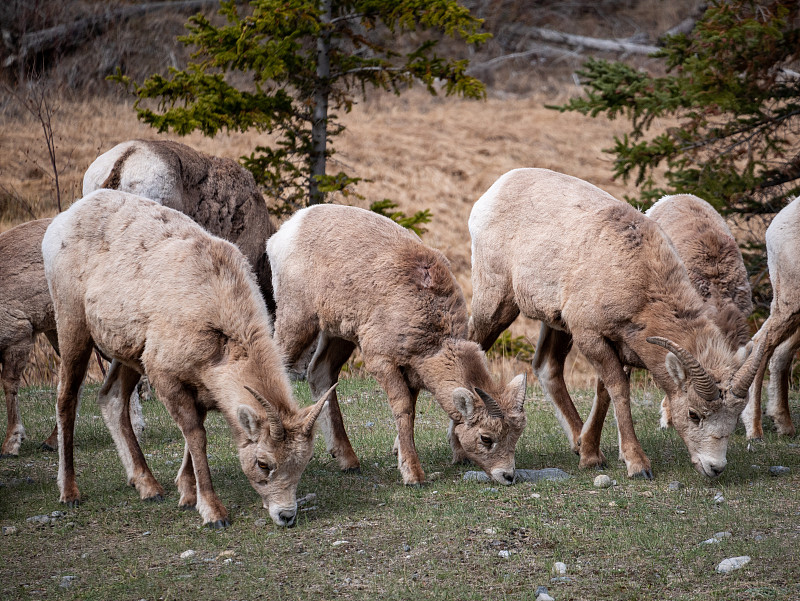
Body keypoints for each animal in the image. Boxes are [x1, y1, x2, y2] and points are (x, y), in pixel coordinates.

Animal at [43, 191, 332, 524]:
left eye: (303, 463)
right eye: (263, 463)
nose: (286, 516)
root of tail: (63, 220)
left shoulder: (200, 383)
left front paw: (186, 493)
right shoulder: (166, 377)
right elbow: (196, 435)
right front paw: (212, 512)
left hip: (128, 353)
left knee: (111, 397)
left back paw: (148, 487)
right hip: (72, 325)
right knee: (66, 398)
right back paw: (69, 492)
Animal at [270, 204, 532, 486]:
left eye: (516, 435)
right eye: (486, 438)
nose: (507, 476)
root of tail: (288, 229)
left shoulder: (412, 370)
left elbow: (412, 410)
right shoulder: (382, 361)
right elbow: (404, 409)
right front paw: (413, 474)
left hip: (338, 333)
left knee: (320, 374)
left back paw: (348, 461)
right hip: (297, 320)